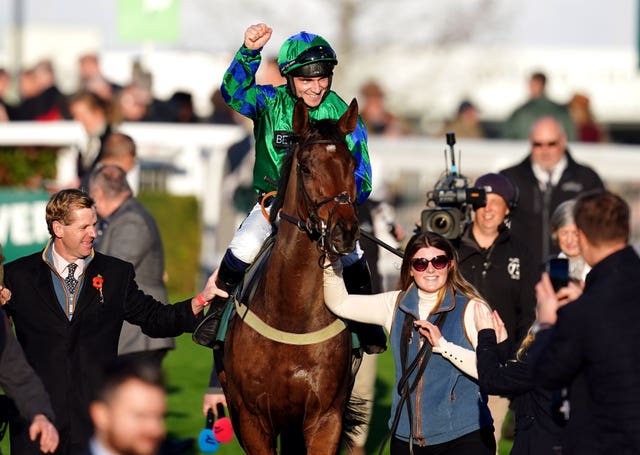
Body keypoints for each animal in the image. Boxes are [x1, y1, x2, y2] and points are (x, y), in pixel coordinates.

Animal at [219, 98, 362, 454]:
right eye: (306, 167)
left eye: (353, 164)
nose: (345, 231)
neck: (291, 315)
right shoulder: (252, 420)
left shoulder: (325, 418)